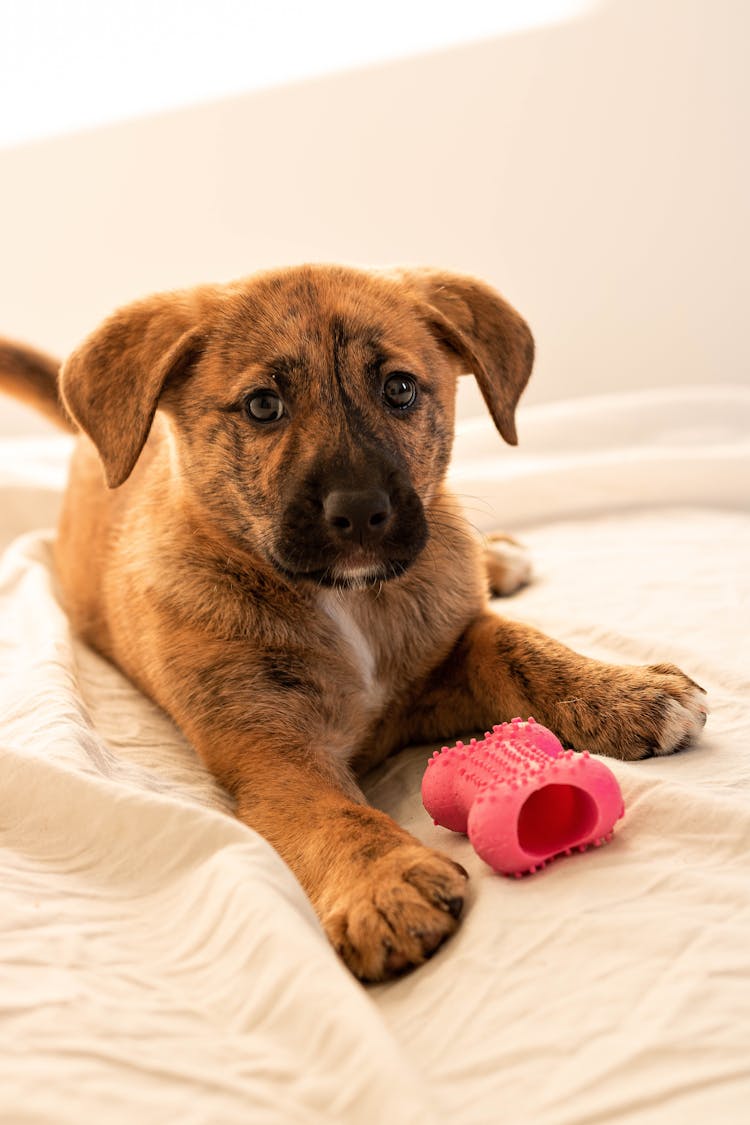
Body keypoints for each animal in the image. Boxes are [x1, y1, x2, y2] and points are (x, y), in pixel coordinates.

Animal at [0, 267, 706, 981]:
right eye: (263, 406)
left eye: (400, 389)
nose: (362, 513)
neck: (352, 602)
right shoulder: (271, 749)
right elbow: (335, 814)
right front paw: (384, 882)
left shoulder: (445, 655)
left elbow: (515, 643)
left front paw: (621, 691)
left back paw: (500, 557)